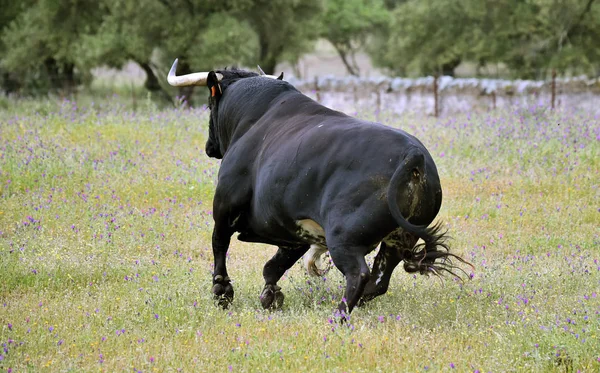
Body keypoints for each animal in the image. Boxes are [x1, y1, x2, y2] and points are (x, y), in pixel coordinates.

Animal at [195, 67, 472, 314]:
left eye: (209, 105)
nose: (209, 146)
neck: (256, 117)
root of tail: (413, 155)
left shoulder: (225, 206)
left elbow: (219, 244)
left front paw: (222, 292)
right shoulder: (293, 230)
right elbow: (274, 265)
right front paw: (270, 296)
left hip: (343, 237)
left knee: (359, 274)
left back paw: (338, 316)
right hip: (398, 238)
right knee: (379, 279)